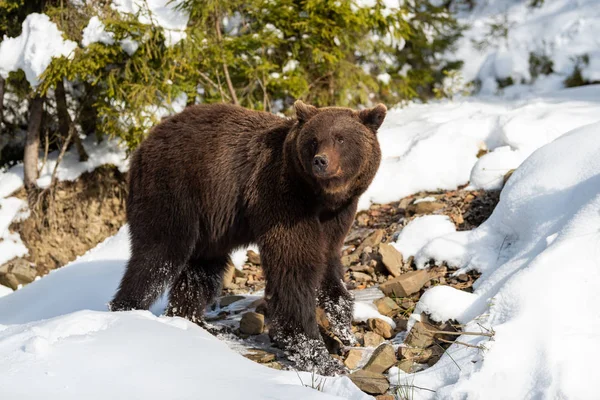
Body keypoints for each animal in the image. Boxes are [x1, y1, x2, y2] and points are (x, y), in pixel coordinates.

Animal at [110, 100, 386, 376]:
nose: (321, 161)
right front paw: (318, 356)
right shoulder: (282, 201)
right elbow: (295, 269)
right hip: (174, 190)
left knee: (200, 272)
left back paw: (196, 322)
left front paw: (344, 327)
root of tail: (145, 143)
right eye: (314, 140)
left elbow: (328, 263)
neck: (319, 198)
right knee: (157, 258)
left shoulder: (336, 217)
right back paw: (126, 311)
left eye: (340, 138)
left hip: (209, 224)